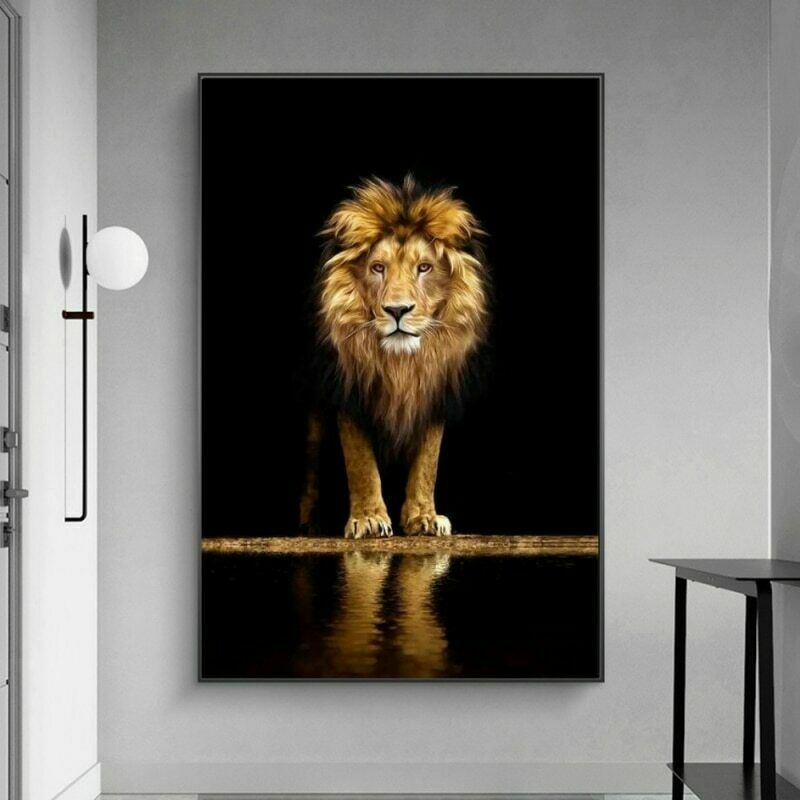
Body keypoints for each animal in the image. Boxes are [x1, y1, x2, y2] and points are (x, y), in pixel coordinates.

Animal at [299, 175, 490, 539]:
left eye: (424, 268)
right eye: (378, 268)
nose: (398, 310)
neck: (400, 364)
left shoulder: (433, 390)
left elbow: (428, 461)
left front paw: (424, 517)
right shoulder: (349, 390)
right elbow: (359, 461)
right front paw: (369, 519)